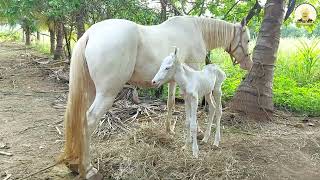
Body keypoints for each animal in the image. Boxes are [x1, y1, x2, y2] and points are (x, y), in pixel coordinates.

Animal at [58, 15, 251, 179]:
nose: (249, 64)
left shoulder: (174, 79)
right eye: (248, 40)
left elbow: (171, 102)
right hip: (106, 94)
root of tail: (90, 33)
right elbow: (191, 110)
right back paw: (88, 169)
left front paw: (169, 129)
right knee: (89, 120)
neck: (197, 29)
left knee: (79, 118)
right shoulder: (194, 70)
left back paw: (74, 164)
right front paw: (197, 134)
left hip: (90, 91)